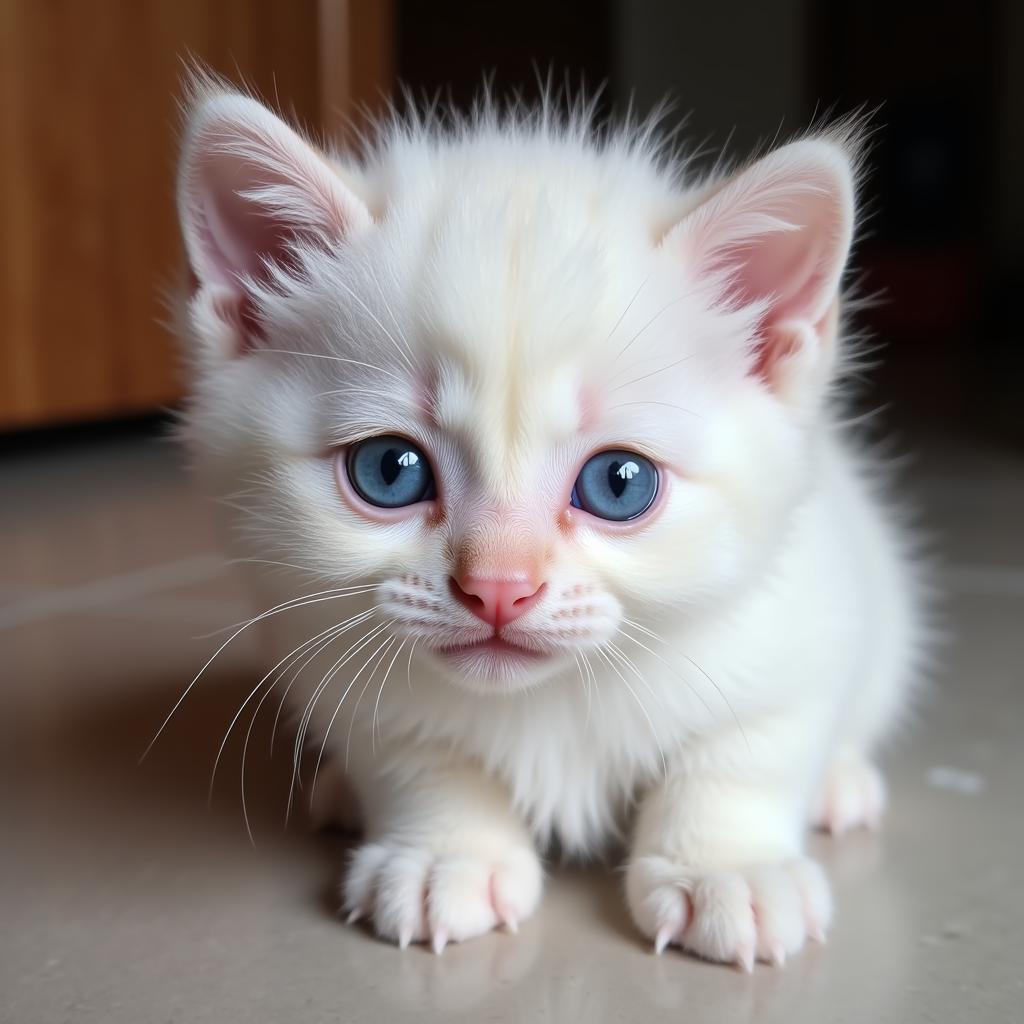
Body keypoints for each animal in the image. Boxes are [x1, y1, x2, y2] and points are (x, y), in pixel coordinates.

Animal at [174, 81, 921, 966]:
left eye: (619, 484)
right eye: (389, 470)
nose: (498, 588)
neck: (548, 701)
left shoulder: (808, 622)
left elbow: (745, 750)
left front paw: (726, 868)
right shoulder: (326, 656)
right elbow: (413, 754)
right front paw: (445, 854)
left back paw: (841, 783)